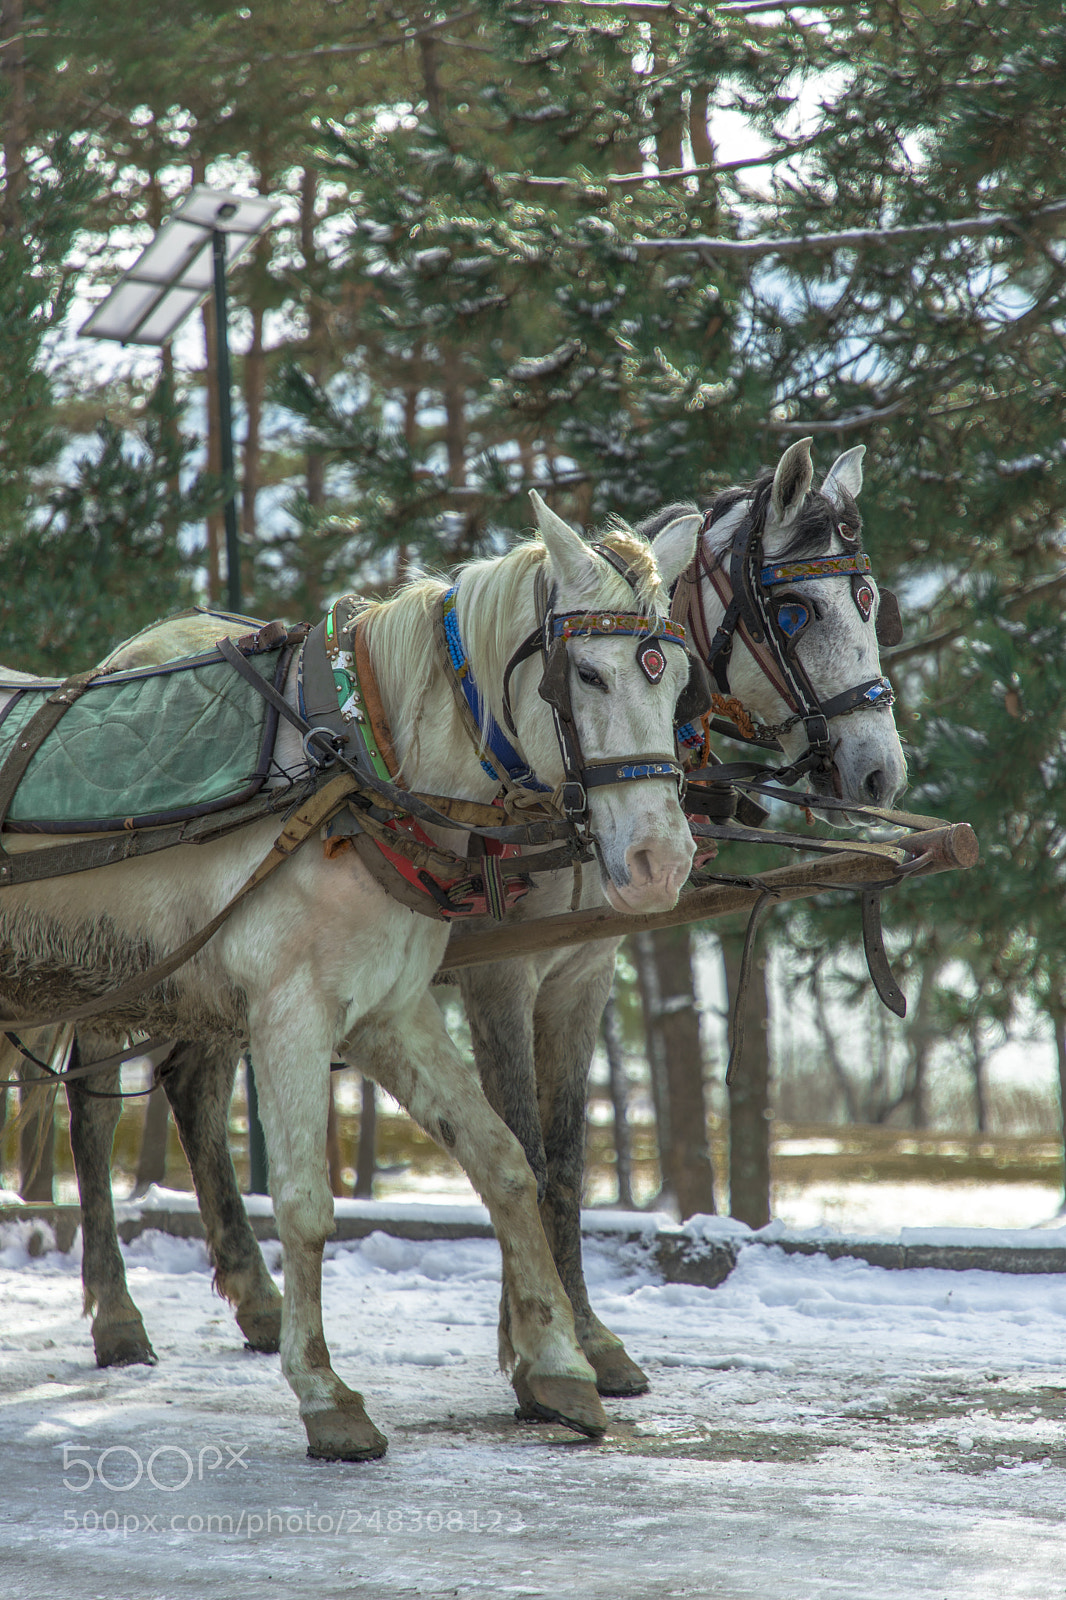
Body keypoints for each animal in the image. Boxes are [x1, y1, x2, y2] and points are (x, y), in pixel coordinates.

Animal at [0, 493, 703, 1459]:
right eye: (589, 677)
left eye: (677, 680)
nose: (660, 862)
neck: (355, 769)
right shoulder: (293, 1012)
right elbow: (304, 1203)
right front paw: (325, 1392)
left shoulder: (391, 1011)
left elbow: (505, 1161)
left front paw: (558, 1364)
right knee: (97, 1113)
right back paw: (121, 1317)